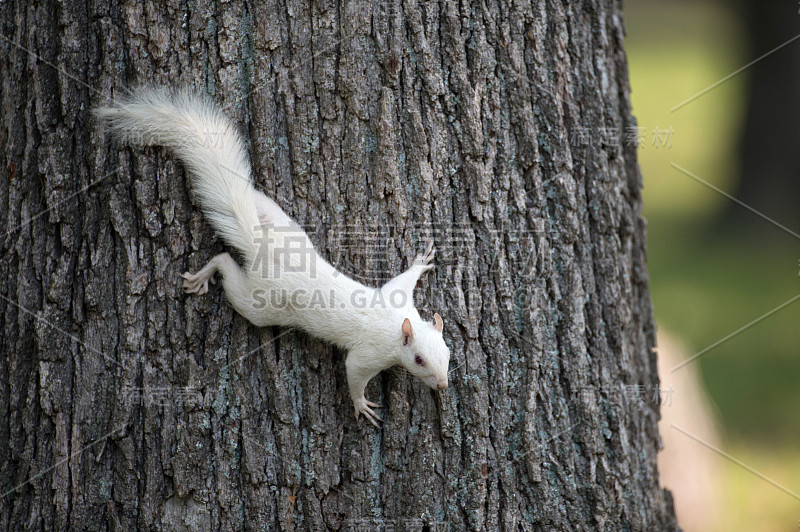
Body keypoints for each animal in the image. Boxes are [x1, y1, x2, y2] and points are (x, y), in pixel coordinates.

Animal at [95, 88, 450, 428]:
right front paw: (361, 404)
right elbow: (354, 372)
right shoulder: (371, 351)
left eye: (447, 351)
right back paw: (205, 273)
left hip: (283, 224)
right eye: (418, 359)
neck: (396, 323)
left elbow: (403, 279)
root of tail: (260, 248)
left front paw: (421, 261)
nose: (444, 385)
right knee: (226, 264)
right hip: (259, 303)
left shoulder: (397, 295)